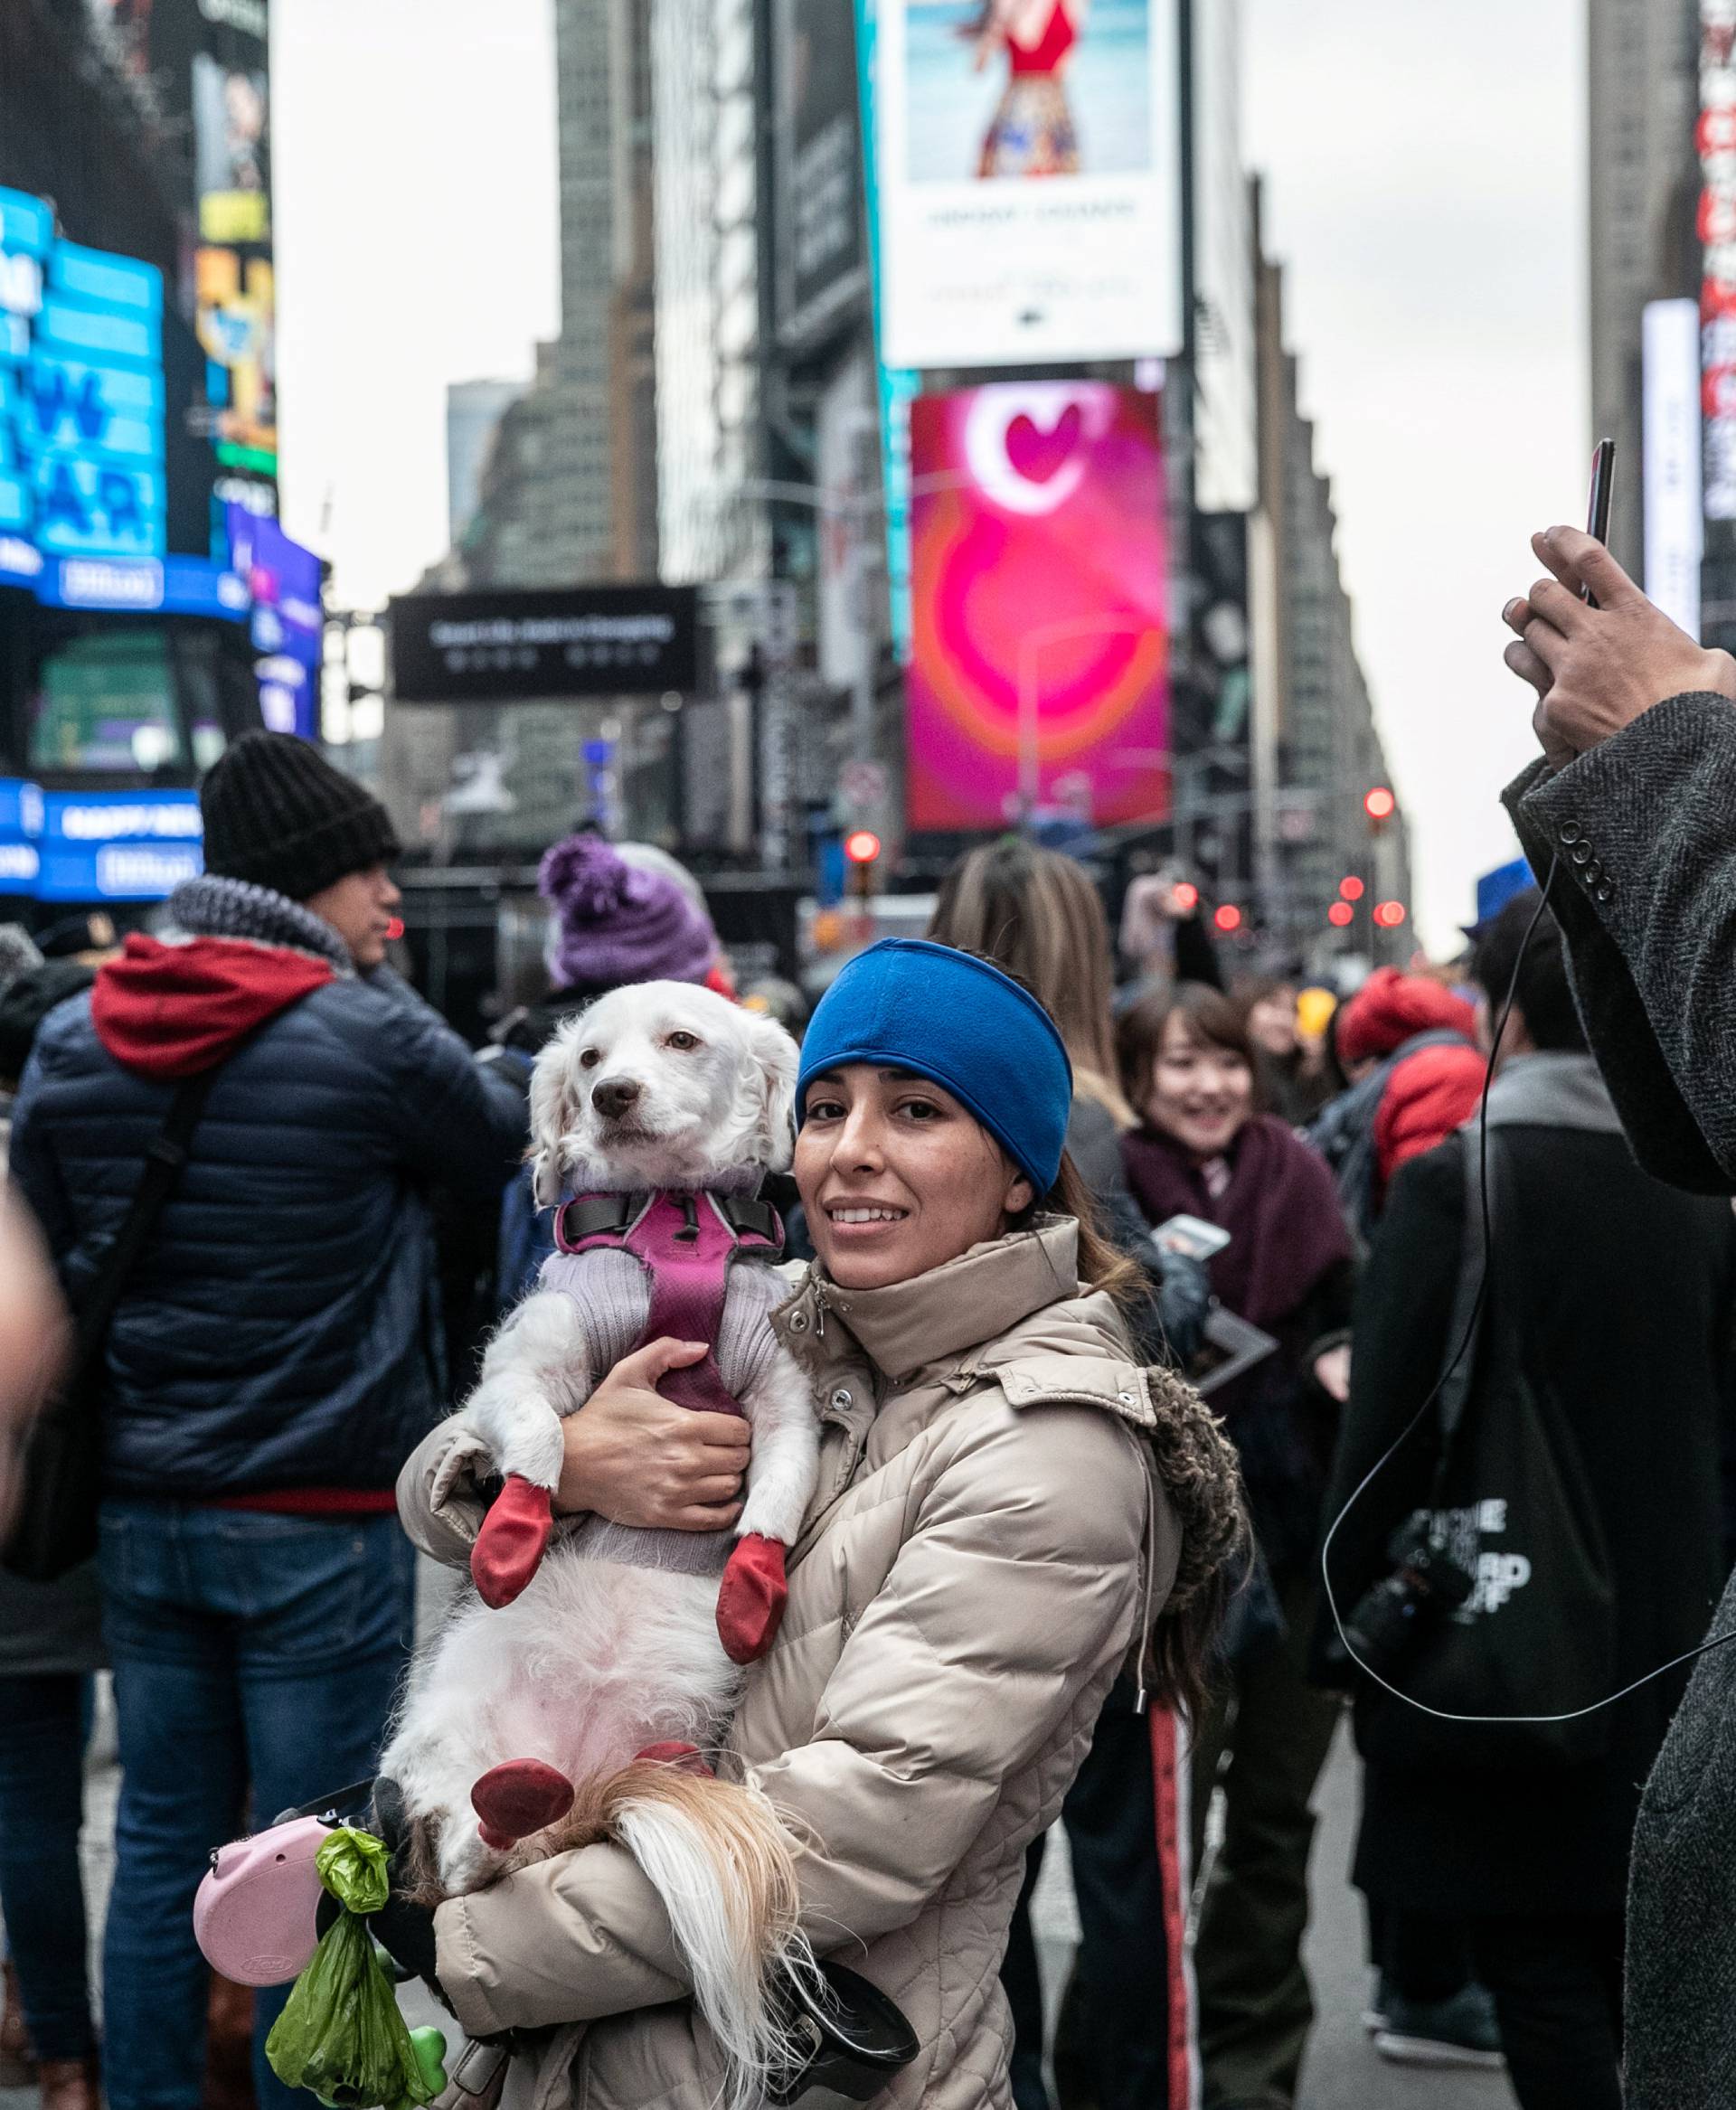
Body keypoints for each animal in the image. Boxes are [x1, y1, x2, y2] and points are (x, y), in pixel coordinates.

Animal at [379, 978, 822, 2101]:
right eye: (586, 1058)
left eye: (682, 1040)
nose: (615, 1093)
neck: (675, 1230)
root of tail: (570, 1775)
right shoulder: (524, 1365)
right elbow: (536, 1437)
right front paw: (512, 1537)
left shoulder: (785, 1404)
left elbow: (775, 1501)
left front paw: (750, 1590)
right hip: (442, 1753)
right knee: (468, 1855)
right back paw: (507, 1804)